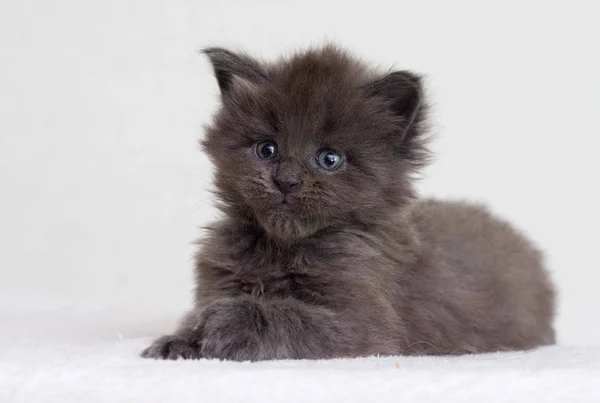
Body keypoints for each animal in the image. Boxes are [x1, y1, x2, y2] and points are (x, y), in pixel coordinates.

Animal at [139, 45, 552, 362]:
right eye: (266, 149)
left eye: (329, 159)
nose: (286, 180)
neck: (280, 249)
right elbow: (197, 315)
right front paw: (179, 340)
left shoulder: (364, 326)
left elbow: (287, 315)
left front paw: (225, 322)